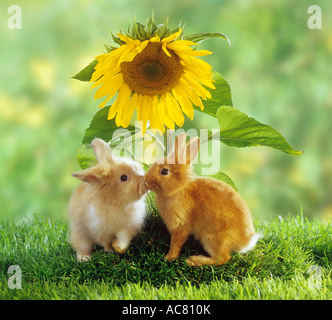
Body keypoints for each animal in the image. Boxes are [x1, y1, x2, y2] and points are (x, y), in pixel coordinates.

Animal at [145, 133, 262, 268]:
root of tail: (246, 241)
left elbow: (176, 242)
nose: (145, 180)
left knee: (222, 258)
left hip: (212, 238)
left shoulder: (180, 224)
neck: (179, 189)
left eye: (164, 171)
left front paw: (168, 257)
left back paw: (195, 260)